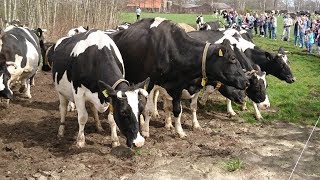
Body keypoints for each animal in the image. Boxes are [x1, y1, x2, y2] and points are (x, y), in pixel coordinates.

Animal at [110, 17, 250, 138]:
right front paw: (145, 131)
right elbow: (148, 109)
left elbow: (178, 109)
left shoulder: (178, 86)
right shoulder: (151, 84)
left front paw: (181, 131)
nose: (247, 82)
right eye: (232, 58)